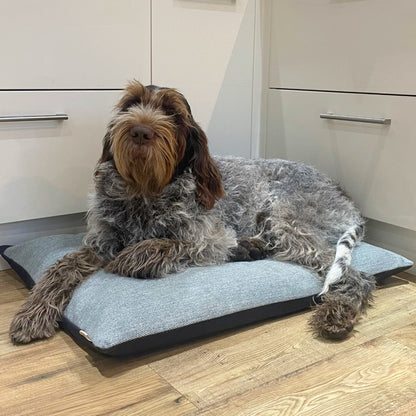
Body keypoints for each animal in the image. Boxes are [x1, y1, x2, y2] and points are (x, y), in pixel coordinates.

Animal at [8, 79, 374, 342]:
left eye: (171, 112)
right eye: (130, 105)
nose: (139, 131)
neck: (145, 192)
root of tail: (344, 194)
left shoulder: (208, 237)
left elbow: (170, 244)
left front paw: (132, 257)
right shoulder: (98, 245)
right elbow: (59, 269)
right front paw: (32, 314)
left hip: (287, 220)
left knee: (358, 277)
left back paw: (338, 313)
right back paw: (251, 248)